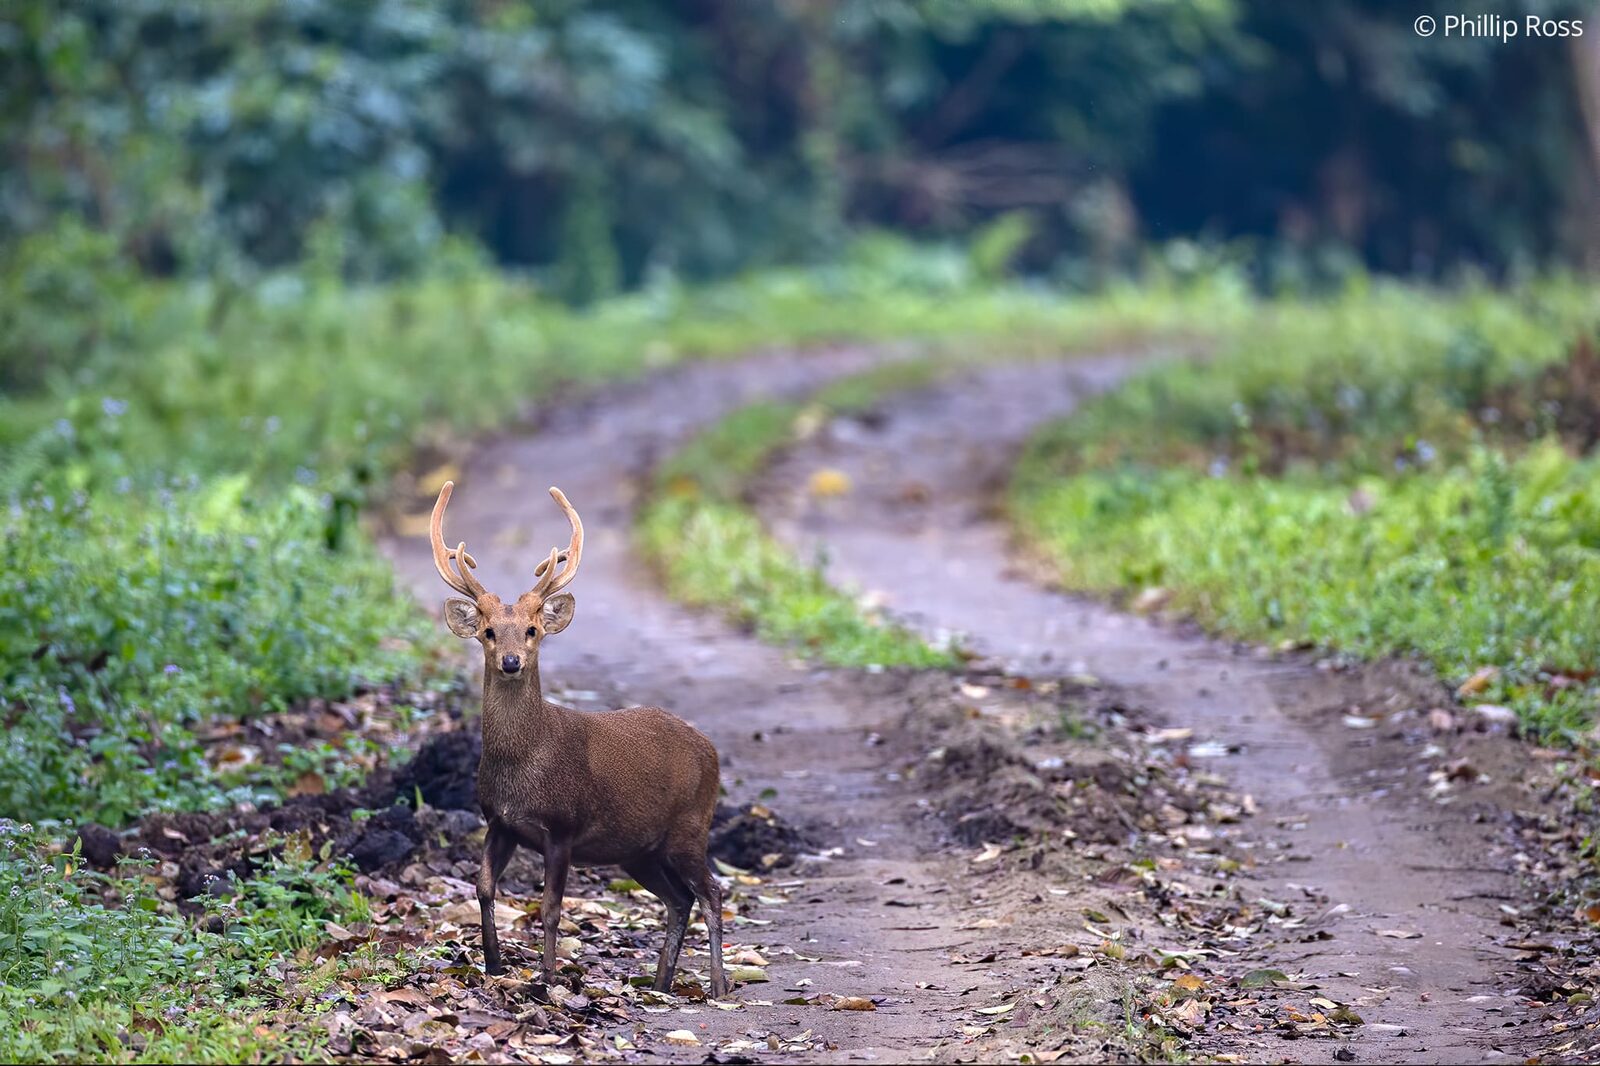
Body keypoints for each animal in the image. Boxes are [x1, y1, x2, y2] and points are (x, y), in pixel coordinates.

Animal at [427, 480, 728, 998]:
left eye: (532, 630)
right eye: (488, 632)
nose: (511, 661)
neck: (524, 762)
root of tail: (710, 750)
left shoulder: (563, 826)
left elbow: (550, 908)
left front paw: (547, 979)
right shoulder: (499, 821)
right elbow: (483, 886)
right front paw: (494, 964)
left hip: (691, 825)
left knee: (712, 892)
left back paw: (718, 985)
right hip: (640, 849)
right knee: (679, 899)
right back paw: (661, 983)